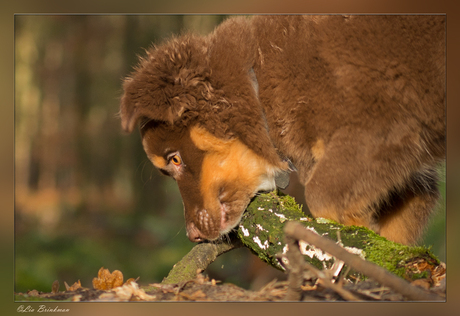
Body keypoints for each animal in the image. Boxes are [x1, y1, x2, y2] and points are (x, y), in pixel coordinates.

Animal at [120, 16, 444, 246]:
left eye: (175, 159)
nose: (193, 236)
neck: (258, 82)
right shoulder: (413, 176)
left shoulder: (384, 130)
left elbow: (323, 196)